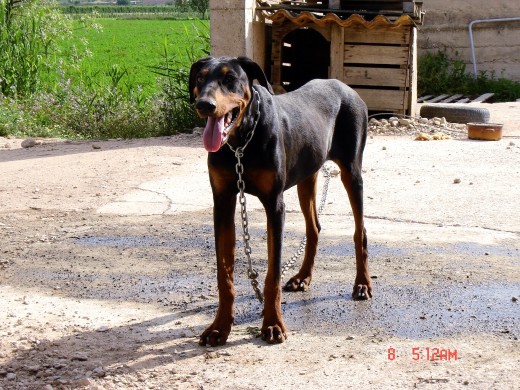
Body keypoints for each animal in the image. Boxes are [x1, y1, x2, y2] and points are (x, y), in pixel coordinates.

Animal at [189, 56, 372, 346]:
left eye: (230, 79)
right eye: (200, 78)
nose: (205, 105)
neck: (240, 145)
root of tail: (345, 87)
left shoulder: (274, 204)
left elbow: (272, 274)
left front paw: (273, 325)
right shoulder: (223, 202)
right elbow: (224, 274)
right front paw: (219, 327)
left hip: (352, 172)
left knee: (359, 231)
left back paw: (362, 284)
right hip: (307, 175)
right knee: (314, 228)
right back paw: (302, 277)